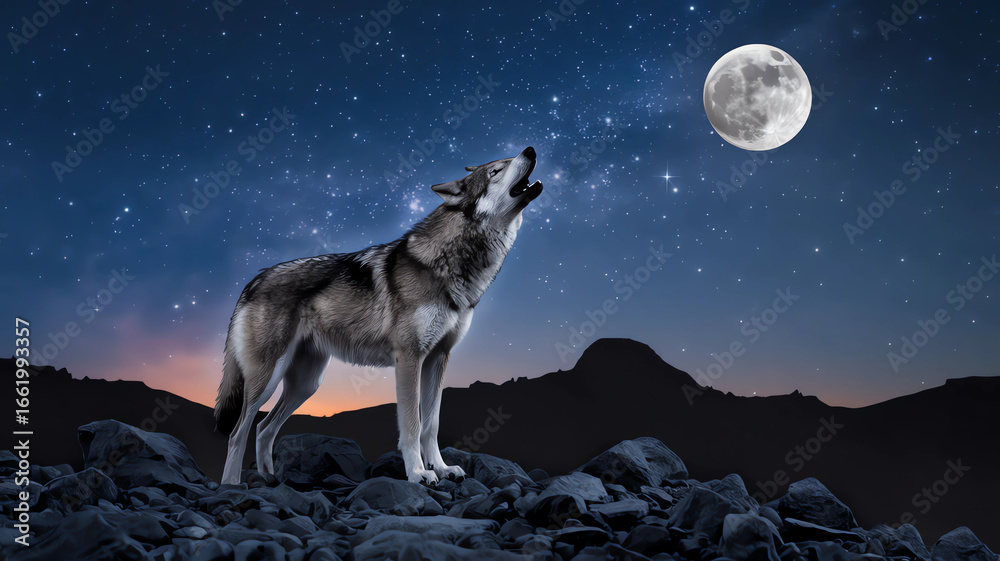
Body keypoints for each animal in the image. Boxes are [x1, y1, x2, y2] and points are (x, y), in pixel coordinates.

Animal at [215, 146, 543, 485]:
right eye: (495, 171)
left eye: (505, 162)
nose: (530, 149)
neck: (449, 263)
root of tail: (254, 280)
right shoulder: (409, 358)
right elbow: (412, 425)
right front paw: (418, 473)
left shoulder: (438, 358)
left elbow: (432, 424)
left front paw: (441, 468)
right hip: (268, 379)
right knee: (238, 432)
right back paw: (232, 485)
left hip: (306, 384)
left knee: (263, 428)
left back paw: (270, 479)